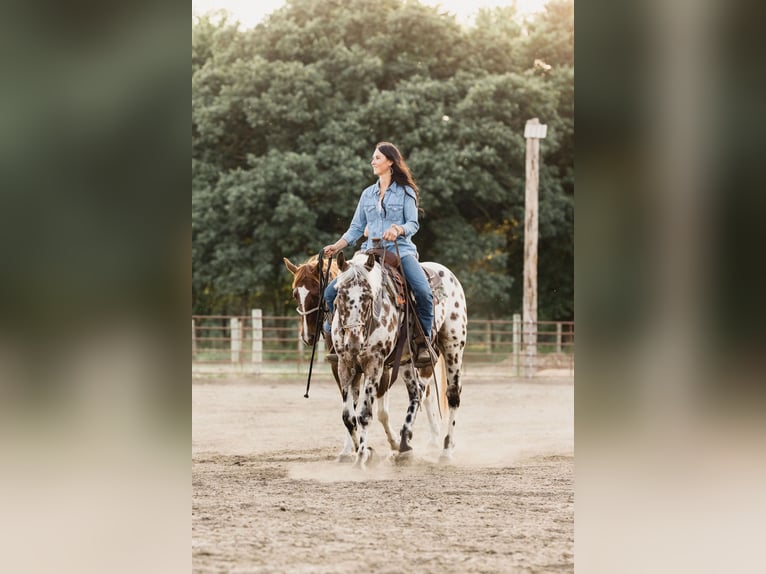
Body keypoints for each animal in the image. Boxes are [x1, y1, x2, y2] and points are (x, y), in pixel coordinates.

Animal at [334, 252, 468, 468]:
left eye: (368, 297)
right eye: (340, 295)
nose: (353, 343)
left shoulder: (375, 365)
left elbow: (364, 415)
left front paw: (361, 459)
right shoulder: (345, 365)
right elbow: (348, 417)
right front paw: (365, 452)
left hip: (453, 347)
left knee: (453, 395)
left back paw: (446, 451)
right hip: (407, 361)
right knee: (417, 392)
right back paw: (404, 444)